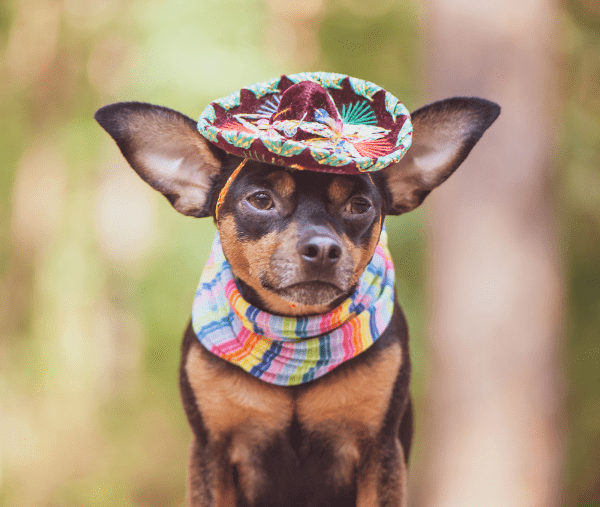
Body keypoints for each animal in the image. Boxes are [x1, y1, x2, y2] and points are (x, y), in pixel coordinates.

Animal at [96, 72, 500, 507]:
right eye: (260, 199)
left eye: (360, 205)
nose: (322, 249)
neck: (294, 334)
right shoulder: (211, 451)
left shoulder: (380, 452)